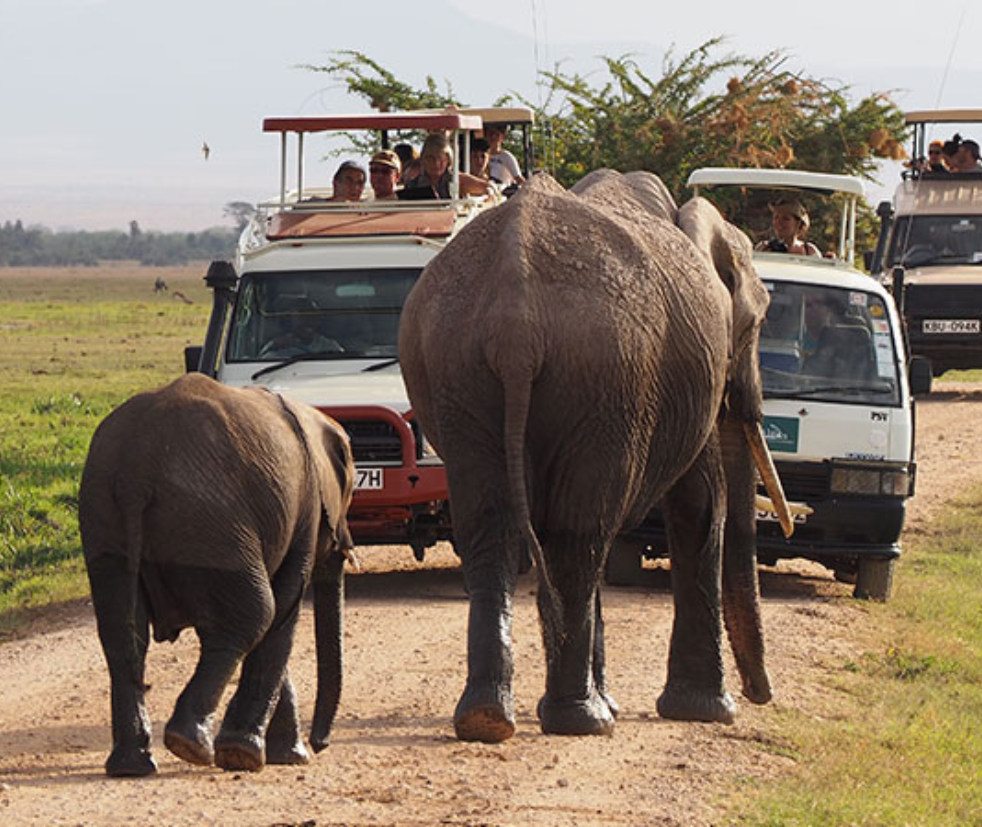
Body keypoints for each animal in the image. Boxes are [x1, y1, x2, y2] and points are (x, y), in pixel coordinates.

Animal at [398, 171, 792, 740]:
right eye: (756, 326)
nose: (761, 695)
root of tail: (515, 323)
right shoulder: (700, 368)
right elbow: (700, 503)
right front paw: (710, 711)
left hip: (458, 369)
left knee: (493, 530)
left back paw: (489, 719)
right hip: (605, 375)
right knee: (578, 536)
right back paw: (581, 720)